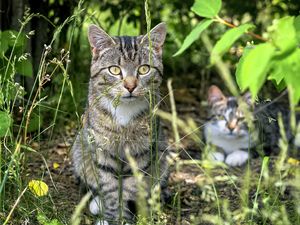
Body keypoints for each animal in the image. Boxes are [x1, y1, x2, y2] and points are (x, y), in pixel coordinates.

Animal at [71, 22, 169, 224]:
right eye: (114, 70)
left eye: (144, 69)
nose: (130, 86)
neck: (125, 111)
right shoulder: (102, 150)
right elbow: (110, 189)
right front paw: (112, 216)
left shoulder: (141, 154)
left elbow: (130, 189)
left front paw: (124, 217)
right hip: (80, 152)